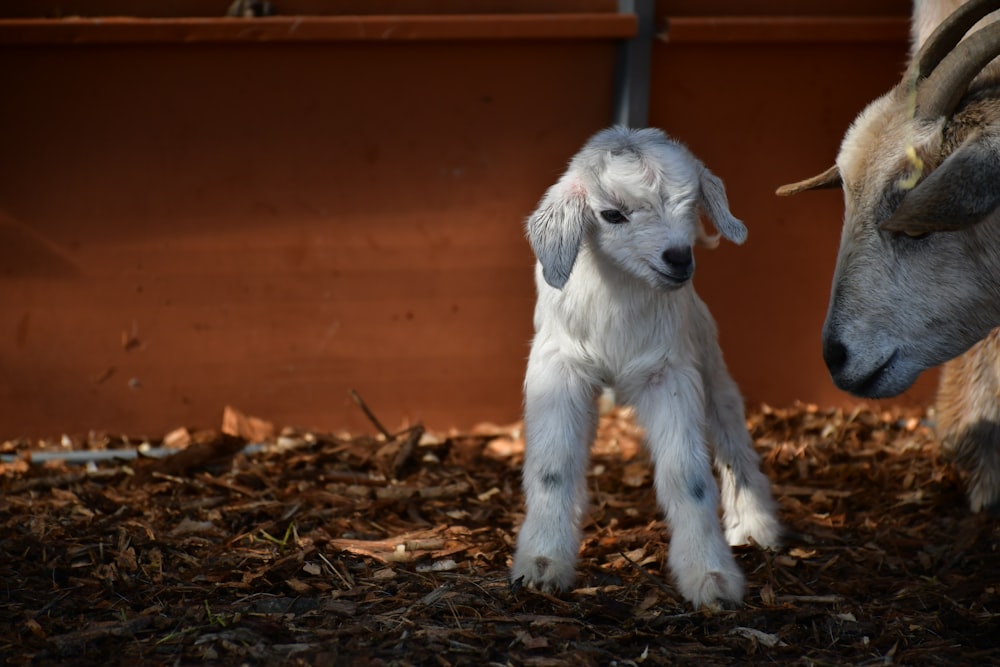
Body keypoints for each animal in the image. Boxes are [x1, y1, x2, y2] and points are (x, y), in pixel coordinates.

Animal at [516, 126, 780, 612]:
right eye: (611, 214)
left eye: (690, 204)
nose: (678, 258)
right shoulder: (559, 370)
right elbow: (553, 466)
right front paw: (542, 564)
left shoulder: (670, 374)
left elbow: (688, 476)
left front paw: (711, 577)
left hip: (710, 363)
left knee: (732, 436)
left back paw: (755, 527)